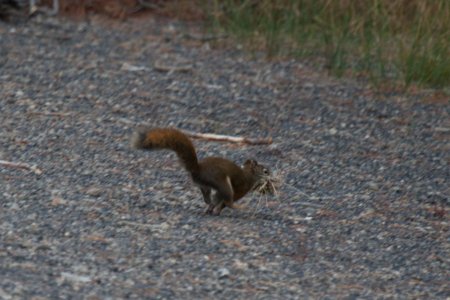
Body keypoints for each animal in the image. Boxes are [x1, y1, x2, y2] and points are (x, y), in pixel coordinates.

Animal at [130, 127, 270, 214]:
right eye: (265, 171)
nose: (271, 175)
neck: (249, 174)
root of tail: (197, 169)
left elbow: (217, 200)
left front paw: (215, 209)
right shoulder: (240, 190)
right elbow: (225, 202)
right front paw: (220, 209)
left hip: (205, 185)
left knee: (207, 198)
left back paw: (209, 207)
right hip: (222, 182)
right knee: (227, 199)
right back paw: (240, 207)